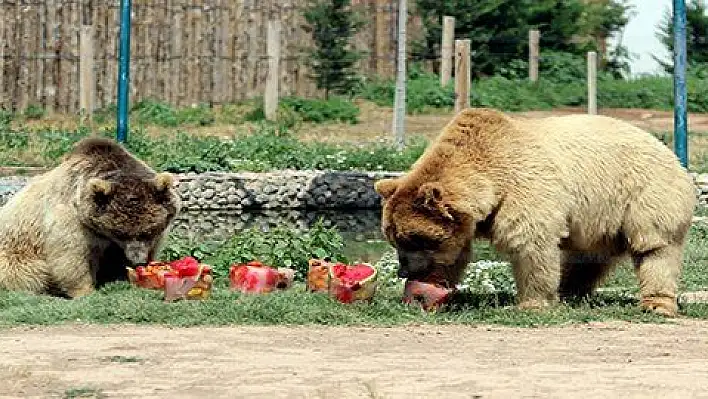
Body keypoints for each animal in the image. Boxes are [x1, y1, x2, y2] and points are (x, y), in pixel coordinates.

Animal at [0, 138, 181, 296]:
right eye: (121, 233)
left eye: (148, 231)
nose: (137, 260)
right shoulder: (73, 219)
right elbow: (71, 256)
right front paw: (85, 290)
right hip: (17, 252)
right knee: (28, 273)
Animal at [376, 108, 696, 318]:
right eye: (394, 239)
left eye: (413, 239)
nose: (404, 270)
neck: (491, 180)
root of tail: (672, 154)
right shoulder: (467, 221)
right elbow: (456, 253)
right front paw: (429, 290)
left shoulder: (525, 189)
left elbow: (531, 245)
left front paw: (529, 303)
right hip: (600, 218)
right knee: (586, 258)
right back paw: (570, 291)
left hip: (643, 194)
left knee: (655, 248)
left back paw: (657, 303)